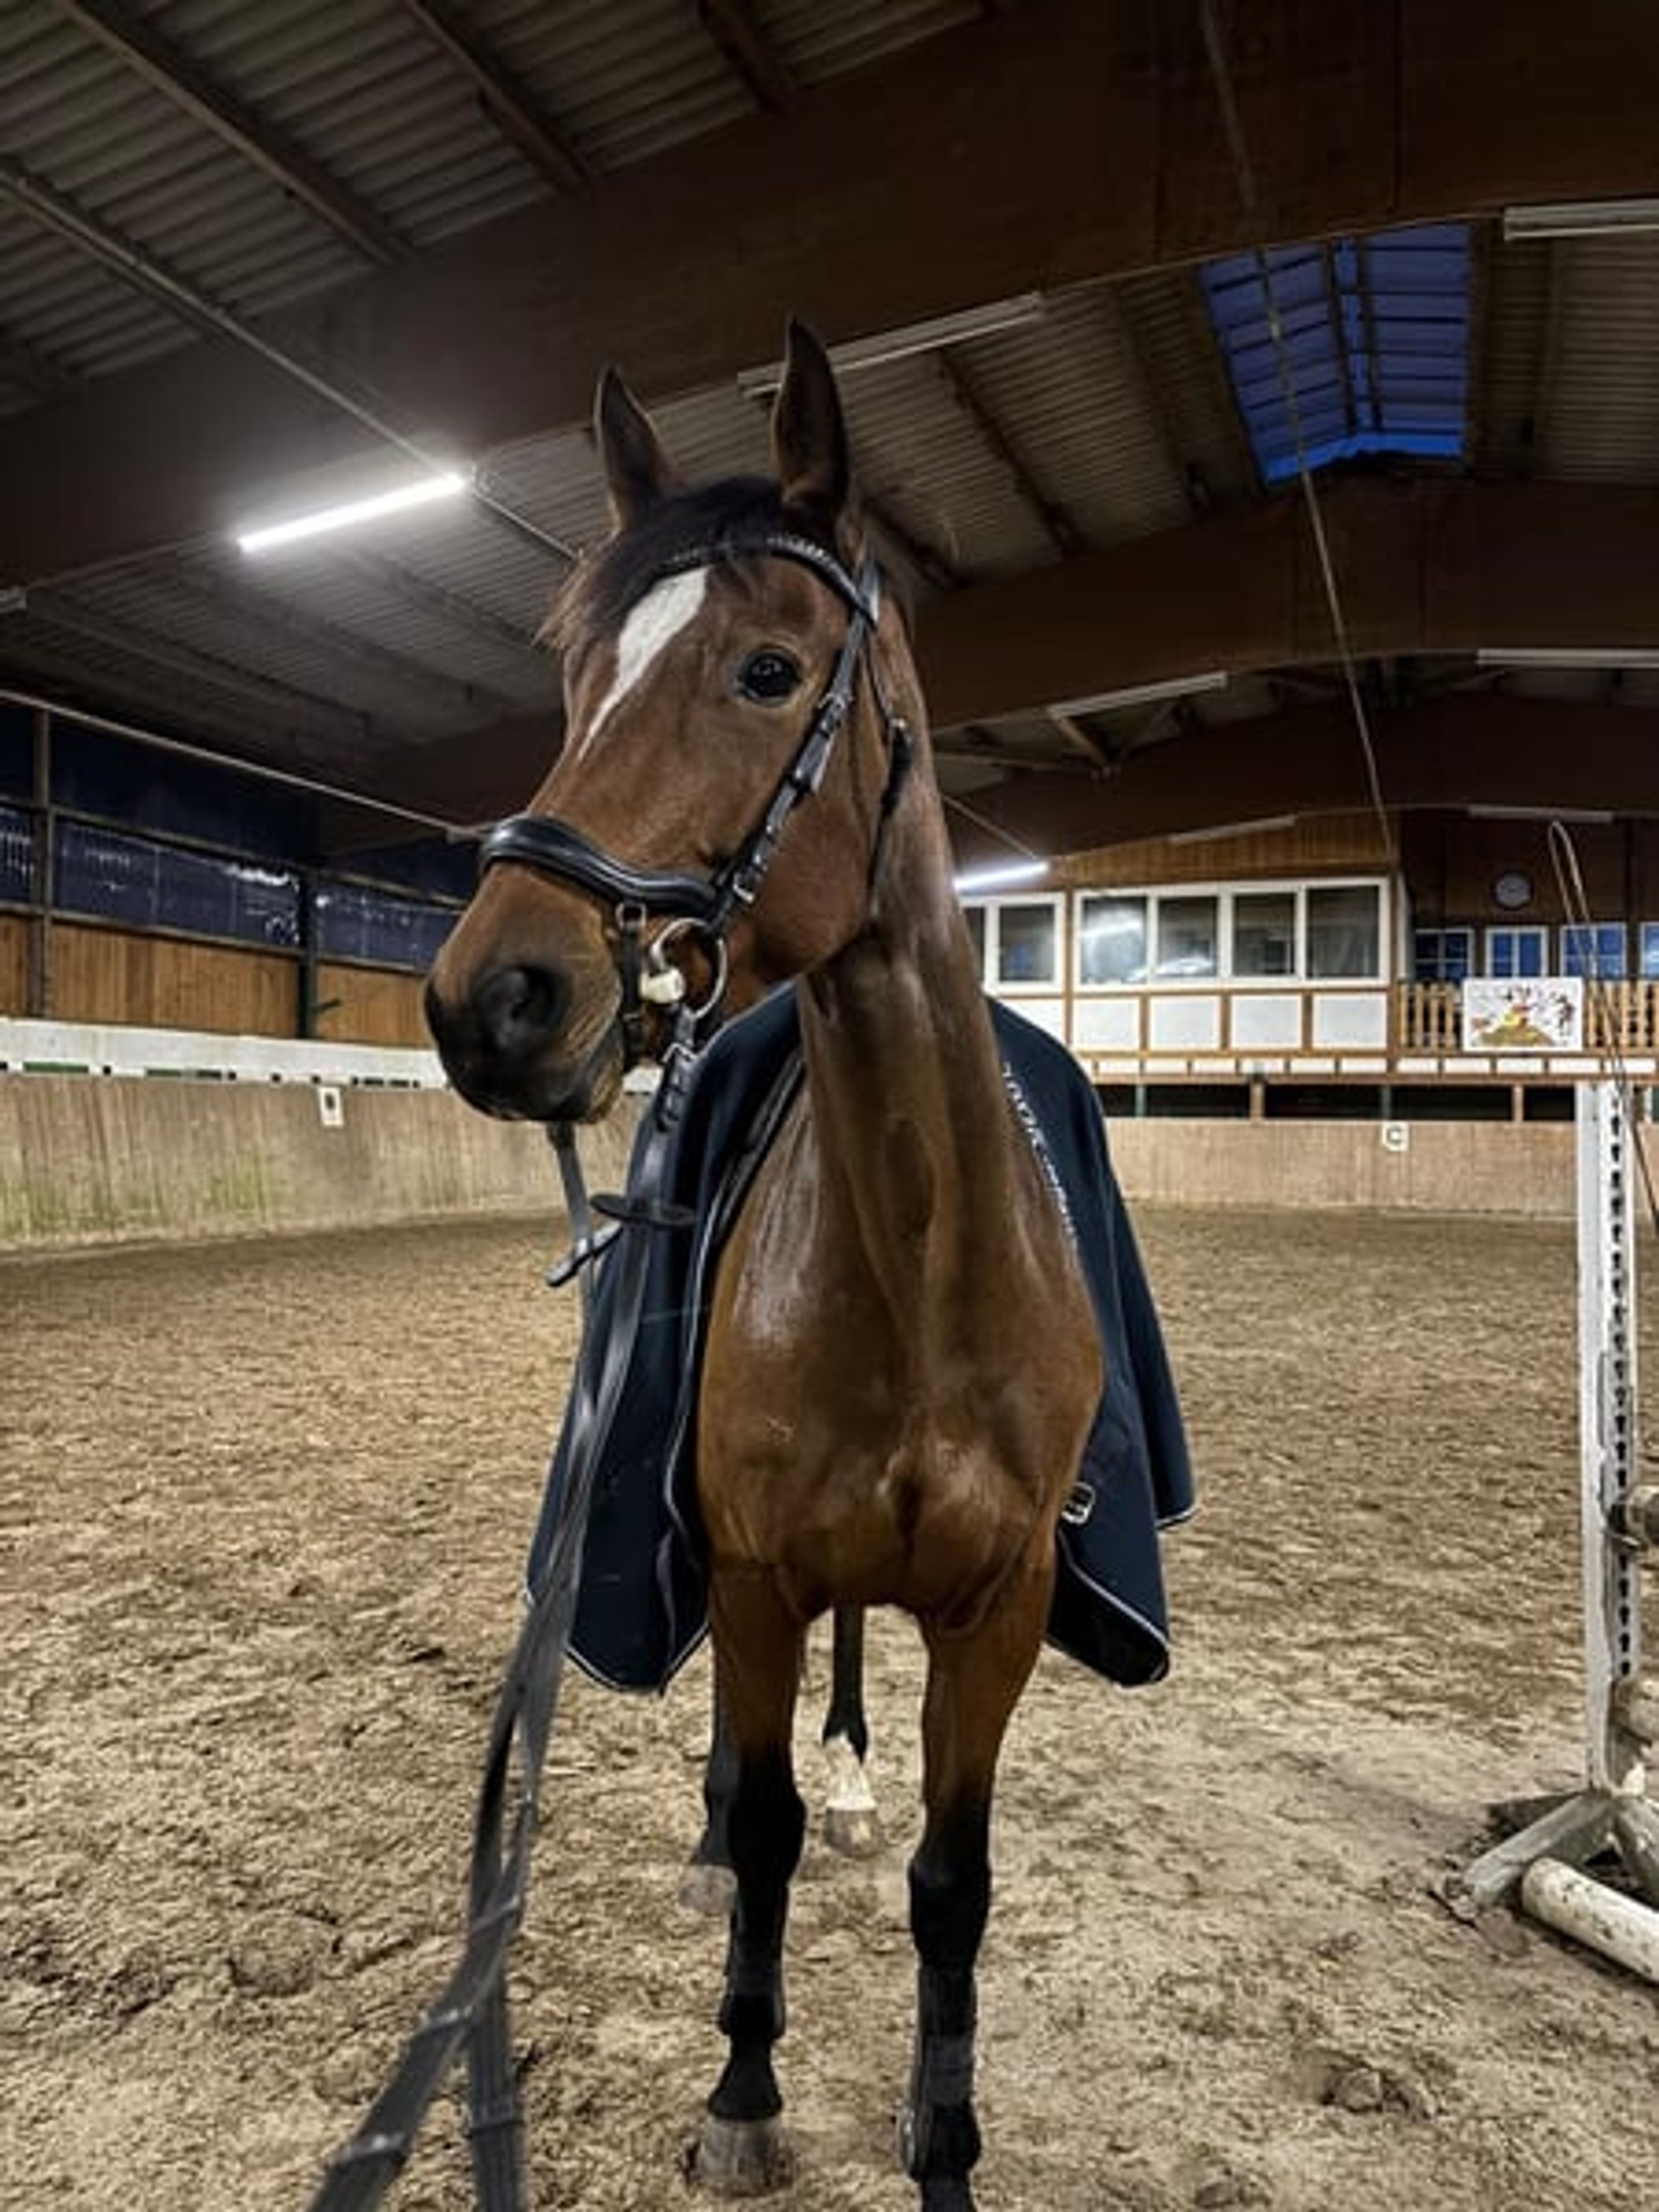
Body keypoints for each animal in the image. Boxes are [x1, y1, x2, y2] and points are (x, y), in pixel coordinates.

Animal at [425, 320, 1103, 2210]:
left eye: (770, 667)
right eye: (579, 675)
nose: (492, 997)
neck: (926, 1258)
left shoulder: (1004, 1602)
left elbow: (956, 1883)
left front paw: (943, 2140)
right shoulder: (747, 1578)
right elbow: (771, 1813)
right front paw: (742, 2086)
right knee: (758, 1780)